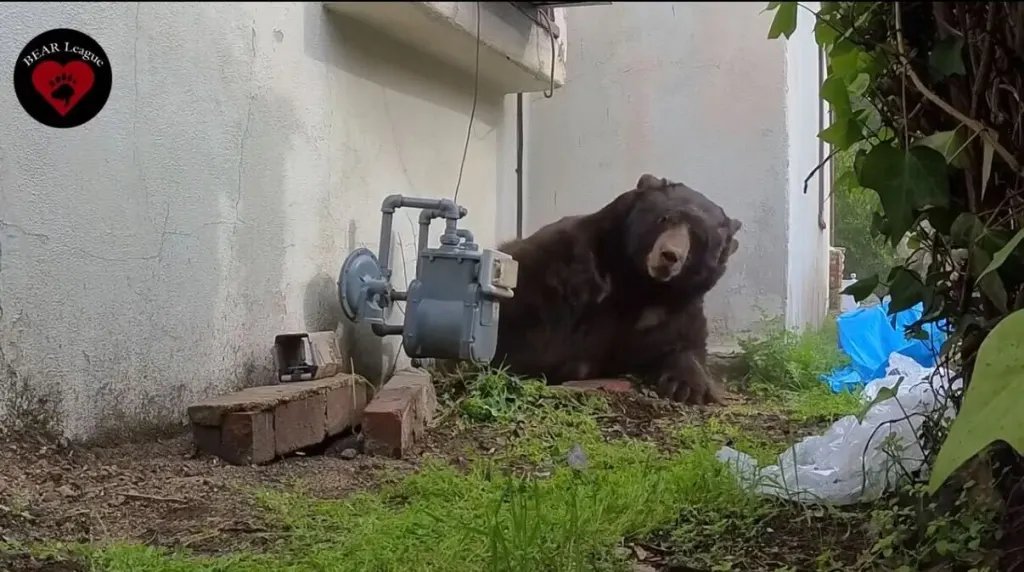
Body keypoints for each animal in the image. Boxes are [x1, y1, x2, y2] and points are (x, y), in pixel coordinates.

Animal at [490, 173, 742, 405]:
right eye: (664, 218)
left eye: (699, 236)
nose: (669, 255)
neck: (637, 282)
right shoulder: (564, 268)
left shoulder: (675, 306)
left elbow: (682, 343)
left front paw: (687, 386)